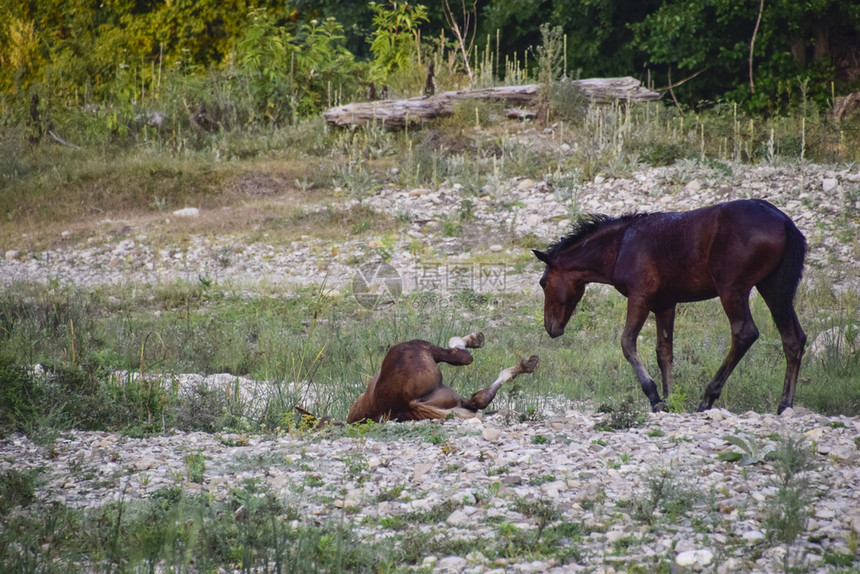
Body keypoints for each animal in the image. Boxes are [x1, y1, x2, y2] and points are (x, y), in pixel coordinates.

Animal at [536, 200, 808, 416]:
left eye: (543, 283)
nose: (551, 327)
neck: (621, 245)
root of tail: (785, 222)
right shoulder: (665, 304)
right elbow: (664, 351)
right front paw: (669, 399)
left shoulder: (640, 297)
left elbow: (627, 342)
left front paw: (655, 397)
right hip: (774, 288)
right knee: (793, 339)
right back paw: (784, 405)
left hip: (733, 289)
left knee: (745, 333)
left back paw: (707, 398)